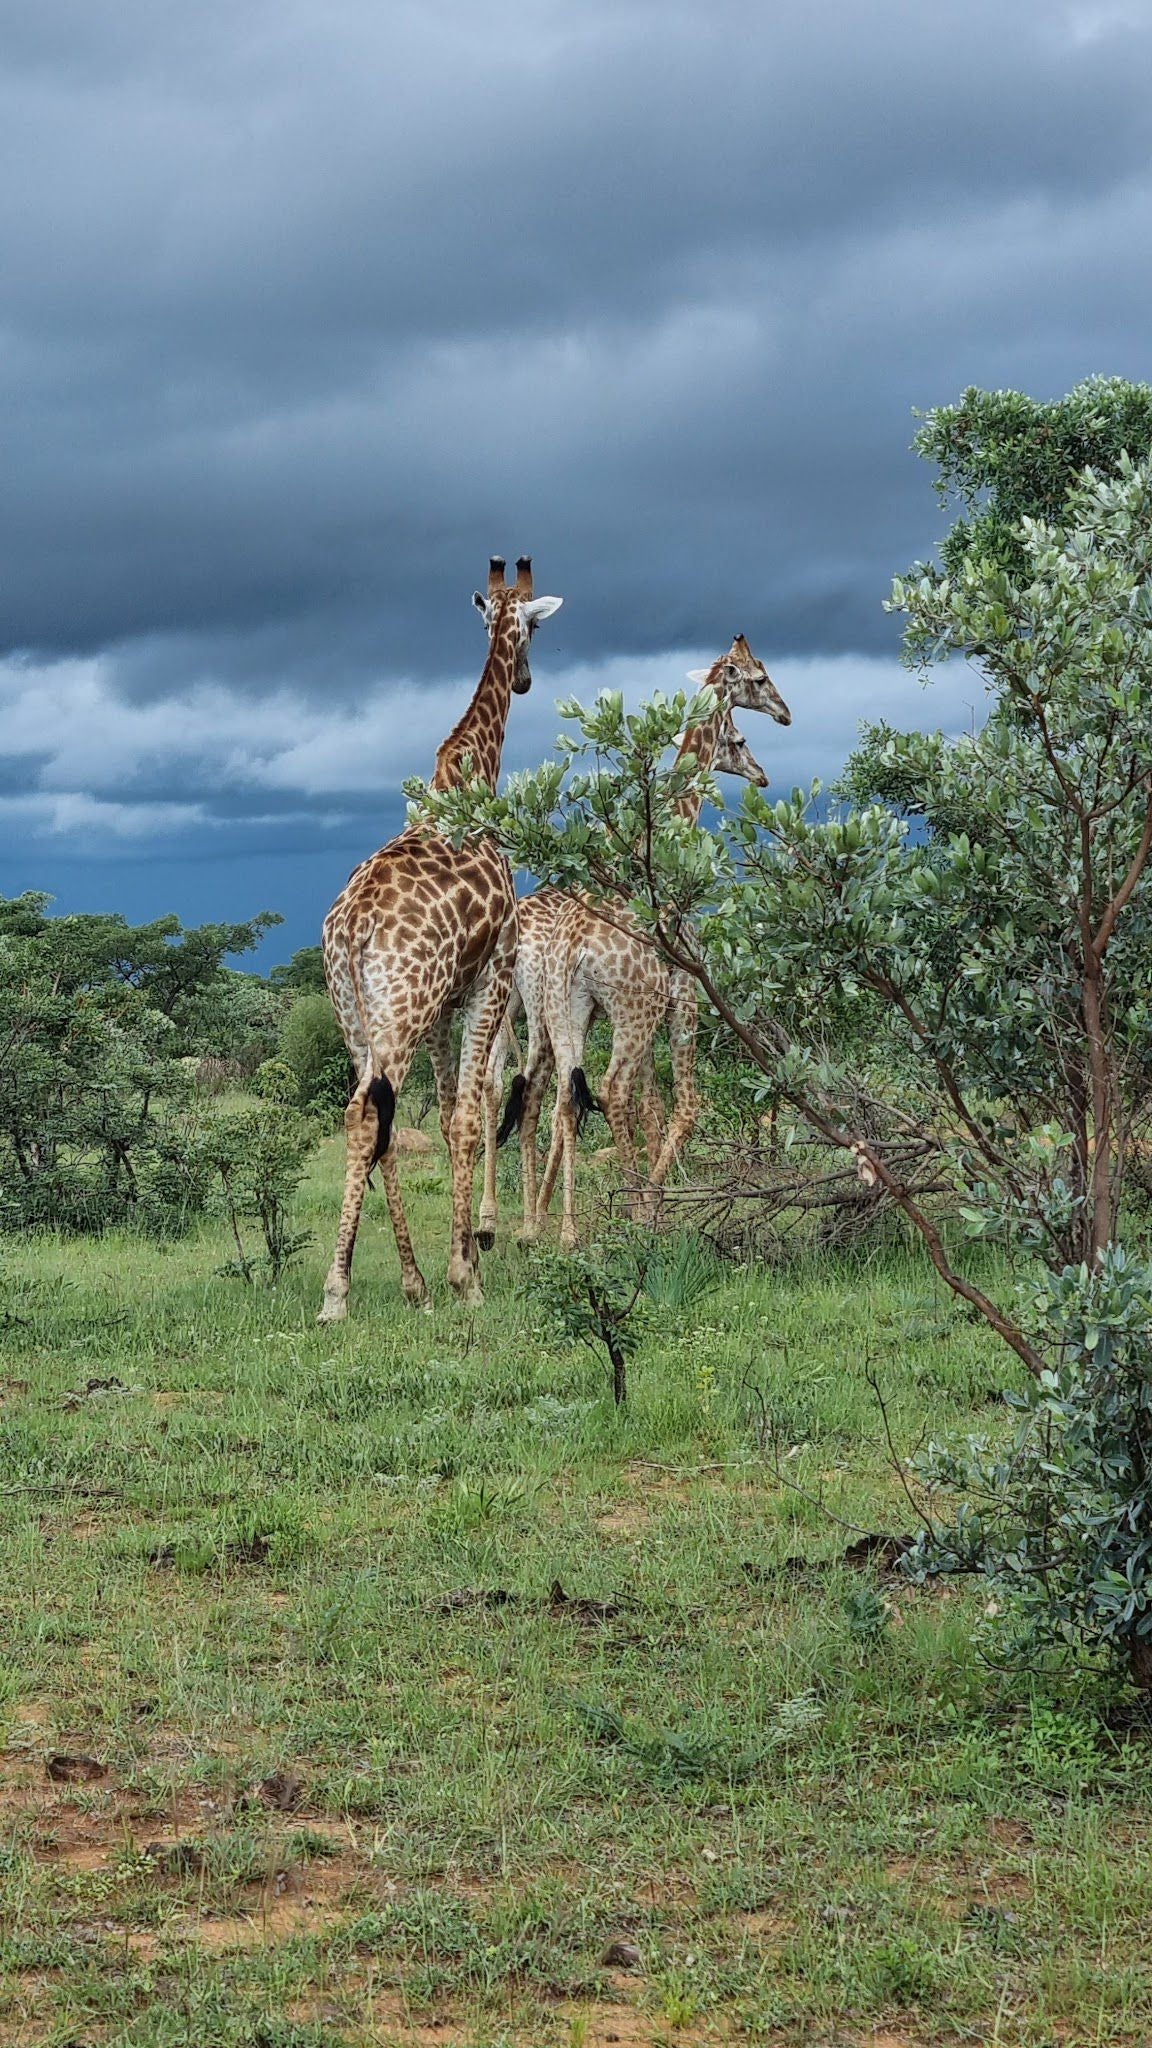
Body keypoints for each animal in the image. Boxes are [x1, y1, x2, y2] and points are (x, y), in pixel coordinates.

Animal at [317, 552, 561, 1318]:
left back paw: (407, 1282)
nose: (527, 678)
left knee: (374, 1117)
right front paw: (468, 1273)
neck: (471, 776)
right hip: (401, 1004)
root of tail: (353, 926)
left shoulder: (443, 1008)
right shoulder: (490, 976)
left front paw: (444, 1267)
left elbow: (444, 1111)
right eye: (535, 631)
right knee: (366, 1112)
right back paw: (336, 1292)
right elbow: (467, 1115)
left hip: (356, 1013)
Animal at [494, 638, 787, 1245]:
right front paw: (652, 1208)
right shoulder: (680, 1000)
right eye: (760, 678)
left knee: (543, 1095)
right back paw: (594, 1217)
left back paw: (548, 1228)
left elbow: (645, 1108)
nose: (786, 715)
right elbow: (681, 1106)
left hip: (553, 1011)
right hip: (611, 1012)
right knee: (600, 1092)